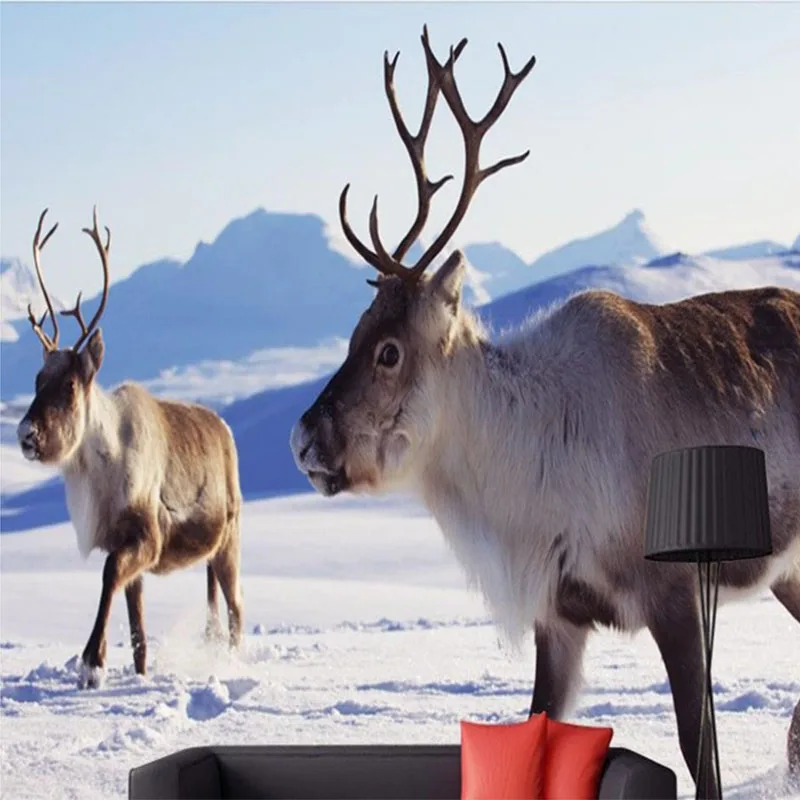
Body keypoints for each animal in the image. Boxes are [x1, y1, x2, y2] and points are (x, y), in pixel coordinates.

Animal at [16, 207, 244, 690]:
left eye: (69, 383)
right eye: (37, 380)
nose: (26, 433)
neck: (100, 470)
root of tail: (225, 429)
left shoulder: (146, 537)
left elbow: (107, 579)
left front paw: (91, 663)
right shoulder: (122, 544)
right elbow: (137, 627)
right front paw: (134, 674)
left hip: (229, 539)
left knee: (237, 611)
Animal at [290, 26, 800, 798]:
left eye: (387, 351)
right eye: (350, 334)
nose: (302, 438)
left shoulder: (673, 594)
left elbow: (699, 752)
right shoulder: (559, 617)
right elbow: (537, 721)